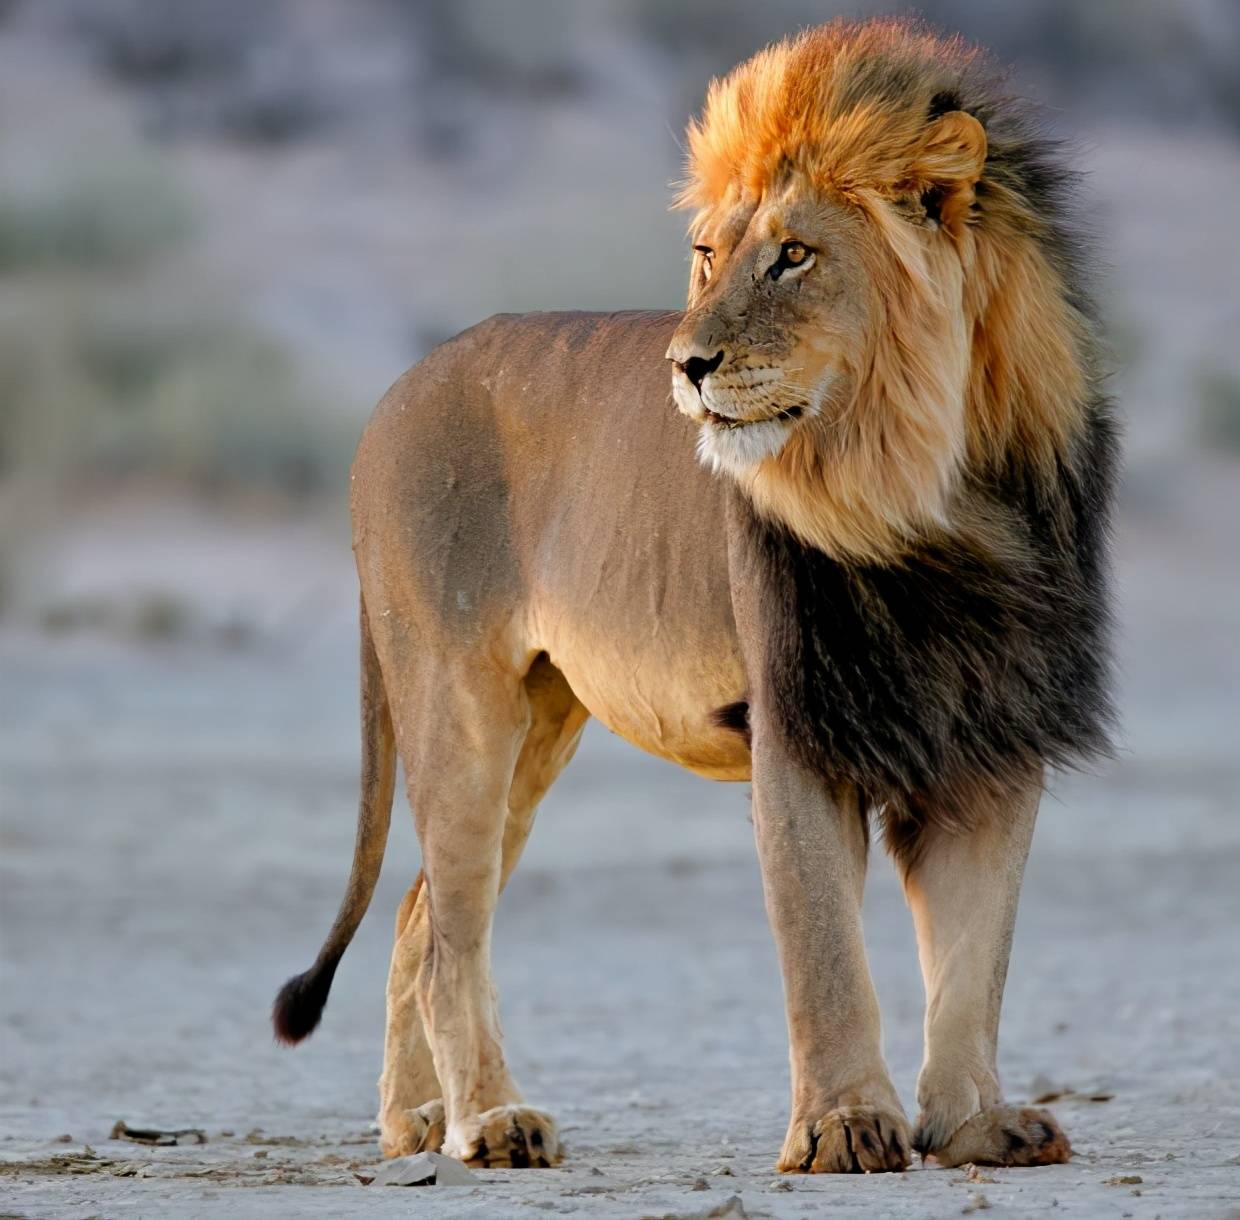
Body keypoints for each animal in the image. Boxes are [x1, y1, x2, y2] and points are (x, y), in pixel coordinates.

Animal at [272, 19, 1114, 1175]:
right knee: (450, 932)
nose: (685, 362)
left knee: (419, 914)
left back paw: (416, 1124)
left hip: (540, 719)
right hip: (459, 698)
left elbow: (974, 956)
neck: (932, 495)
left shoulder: (994, 731)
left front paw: (978, 1121)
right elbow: (825, 951)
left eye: (794, 254)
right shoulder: (797, 724)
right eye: (710, 255)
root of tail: (395, 391)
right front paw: (844, 1126)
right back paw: (492, 1121)